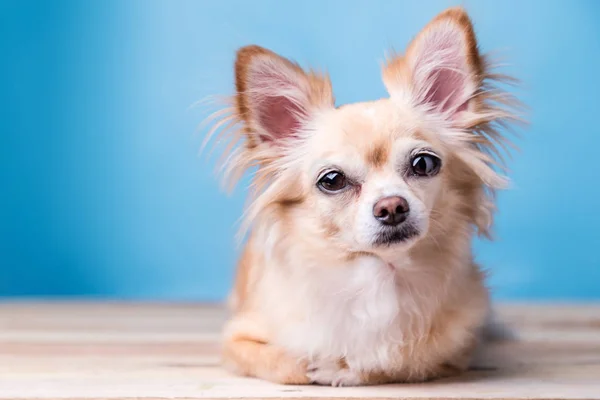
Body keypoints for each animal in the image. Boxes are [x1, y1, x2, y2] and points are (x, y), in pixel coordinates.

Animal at [204, 6, 516, 386]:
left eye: (424, 163)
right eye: (332, 180)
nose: (392, 206)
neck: (381, 276)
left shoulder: (457, 349)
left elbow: (402, 362)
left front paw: (347, 368)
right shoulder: (237, 339)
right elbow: (291, 366)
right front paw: (318, 364)